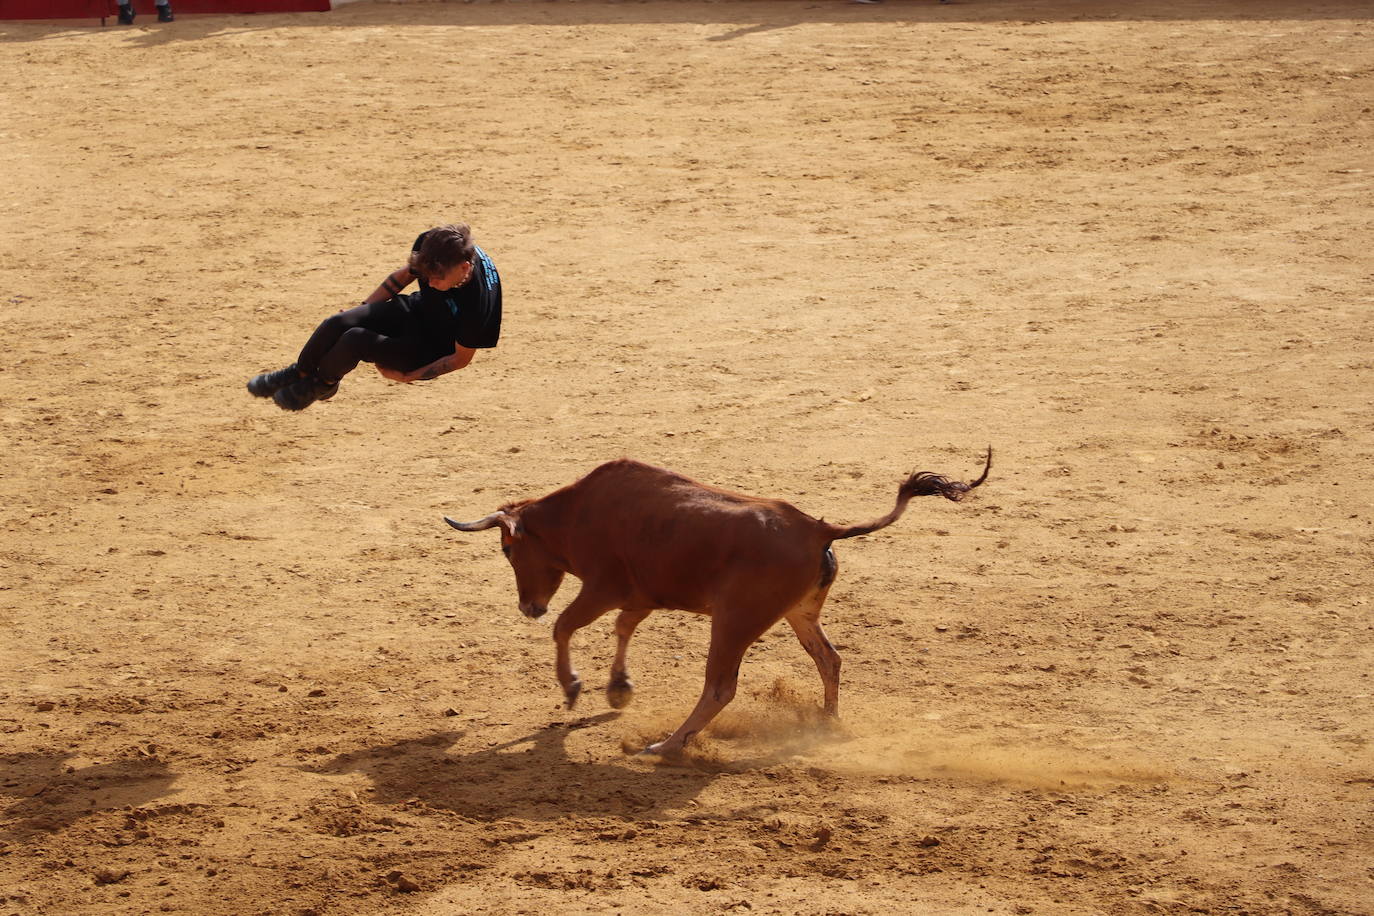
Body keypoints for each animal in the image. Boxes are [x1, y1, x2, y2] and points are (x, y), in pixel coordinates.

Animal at [439, 447, 989, 758]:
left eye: (508, 549)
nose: (528, 607)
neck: (578, 512)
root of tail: (819, 529)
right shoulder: (641, 596)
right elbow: (622, 630)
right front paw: (618, 689)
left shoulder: (602, 588)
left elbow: (568, 627)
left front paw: (574, 686)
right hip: (798, 615)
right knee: (829, 659)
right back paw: (826, 723)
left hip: (732, 623)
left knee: (720, 687)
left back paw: (668, 745)